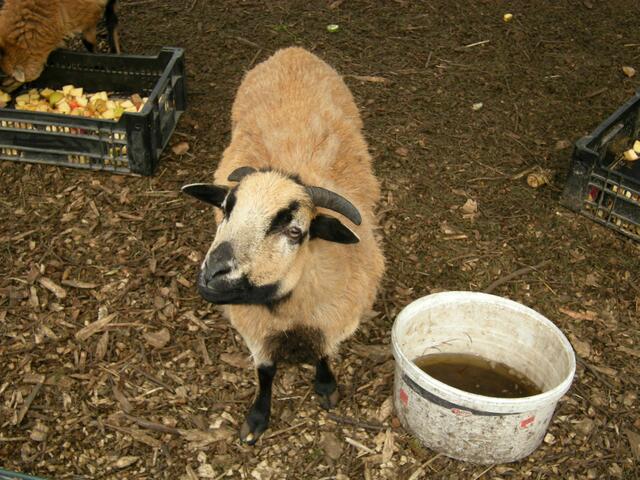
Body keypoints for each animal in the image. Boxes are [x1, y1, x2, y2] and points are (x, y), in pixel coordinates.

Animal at [182, 47, 385, 444]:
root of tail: (293, 51)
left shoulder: (336, 317)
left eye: (294, 231)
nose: (213, 275)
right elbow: (265, 372)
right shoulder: (253, 325)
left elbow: (323, 354)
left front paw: (326, 388)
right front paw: (257, 419)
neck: (288, 305)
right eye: (226, 208)